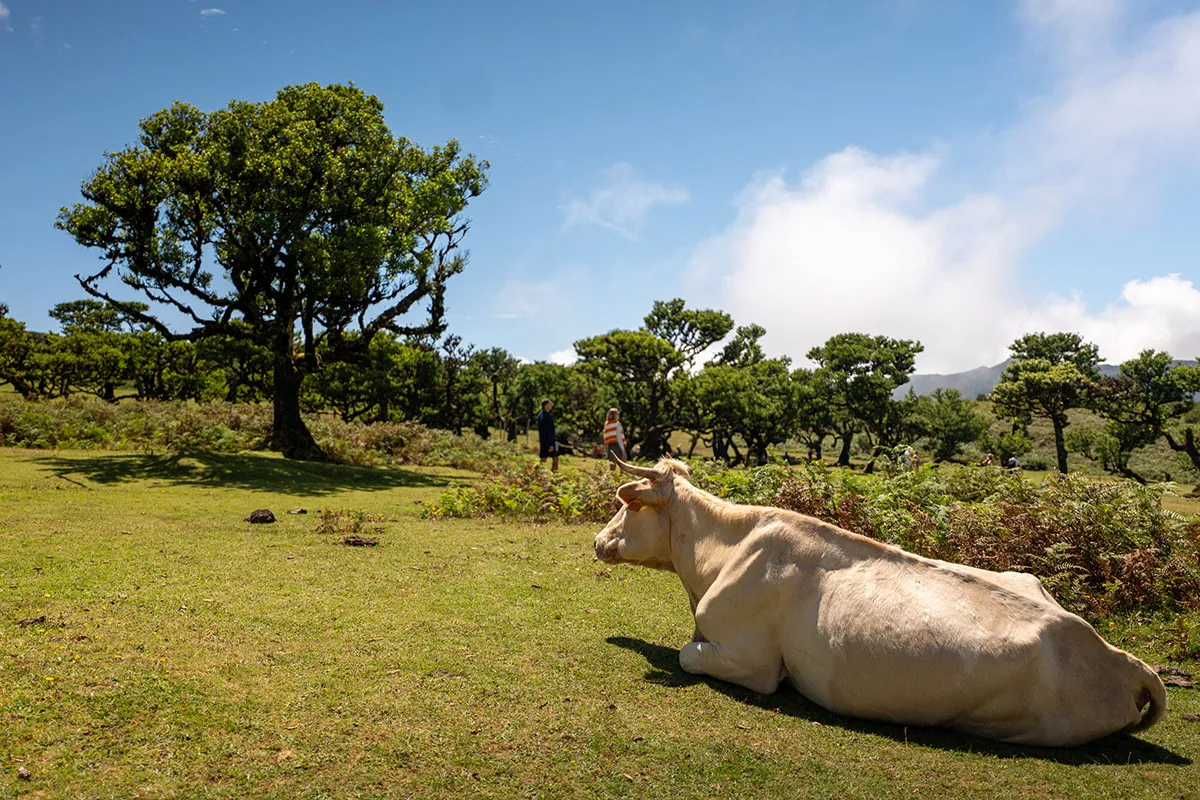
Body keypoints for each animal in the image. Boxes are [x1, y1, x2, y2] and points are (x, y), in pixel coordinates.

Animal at [593, 454, 1167, 747]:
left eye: (629, 506)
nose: (598, 540)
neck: (715, 560)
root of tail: (1125, 660)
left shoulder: (750, 662)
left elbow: (688, 656)